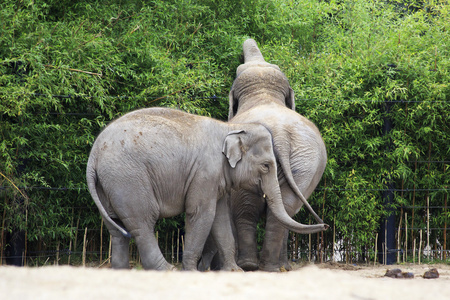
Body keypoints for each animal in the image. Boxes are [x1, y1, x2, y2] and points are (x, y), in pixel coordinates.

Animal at [86, 106, 326, 270]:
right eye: (266, 166)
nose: (325, 226)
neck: (230, 129)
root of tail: (93, 155)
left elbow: (219, 218)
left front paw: (234, 271)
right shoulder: (204, 173)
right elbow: (202, 213)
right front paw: (191, 271)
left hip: (109, 184)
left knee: (116, 228)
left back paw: (121, 270)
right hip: (128, 180)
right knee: (142, 222)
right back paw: (167, 269)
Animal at [202, 38, 326, 272]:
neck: (263, 93)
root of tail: (279, 134)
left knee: (246, 209)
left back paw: (250, 265)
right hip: (306, 162)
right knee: (285, 207)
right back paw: (273, 267)